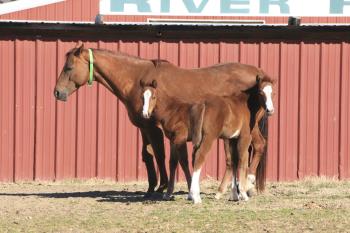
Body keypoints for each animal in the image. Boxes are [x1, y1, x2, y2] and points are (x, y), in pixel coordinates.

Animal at [141, 76, 274, 202]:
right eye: (261, 92)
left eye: (273, 92)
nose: (270, 110)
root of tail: (203, 104)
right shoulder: (244, 137)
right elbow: (242, 161)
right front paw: (241, 194)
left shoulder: (178, 139)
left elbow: (175, 162)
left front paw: (236, 194)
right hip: (210, 137)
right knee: (200, 157)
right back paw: (197, 196)